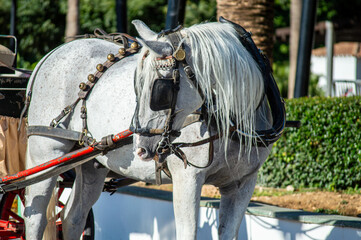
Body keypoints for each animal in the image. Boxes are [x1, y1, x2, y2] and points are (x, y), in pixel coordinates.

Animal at [25, 17, 282, 239]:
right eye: (136, 86)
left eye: (160, 89)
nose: (140, 148)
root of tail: (51, 54)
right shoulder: (188, 179)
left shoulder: (242, 184)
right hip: (46, 153)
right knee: (35, 217)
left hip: (91, 163)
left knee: (73, 217)